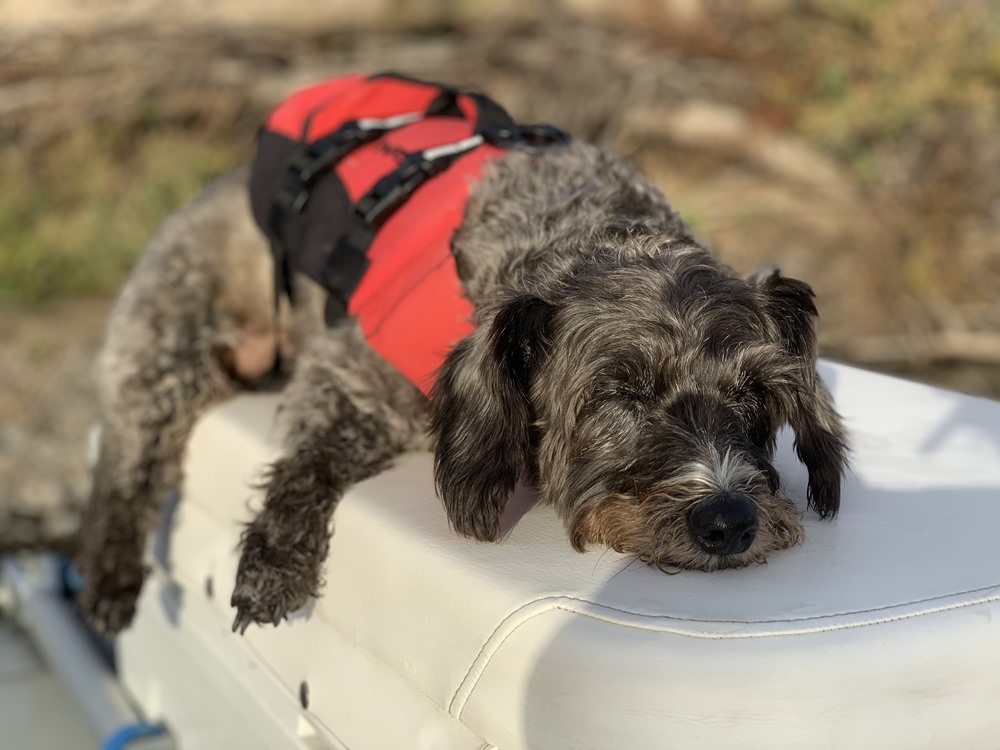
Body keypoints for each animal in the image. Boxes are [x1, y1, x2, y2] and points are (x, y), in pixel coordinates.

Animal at [74, 75, 848, 640]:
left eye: (753, 394)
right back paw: (109, 576)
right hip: (162, 338)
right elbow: (305, 462)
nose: (729, 522)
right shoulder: (351, 375)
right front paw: (272, 562)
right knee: (125, 465)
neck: (572, 229)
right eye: (619, 394)